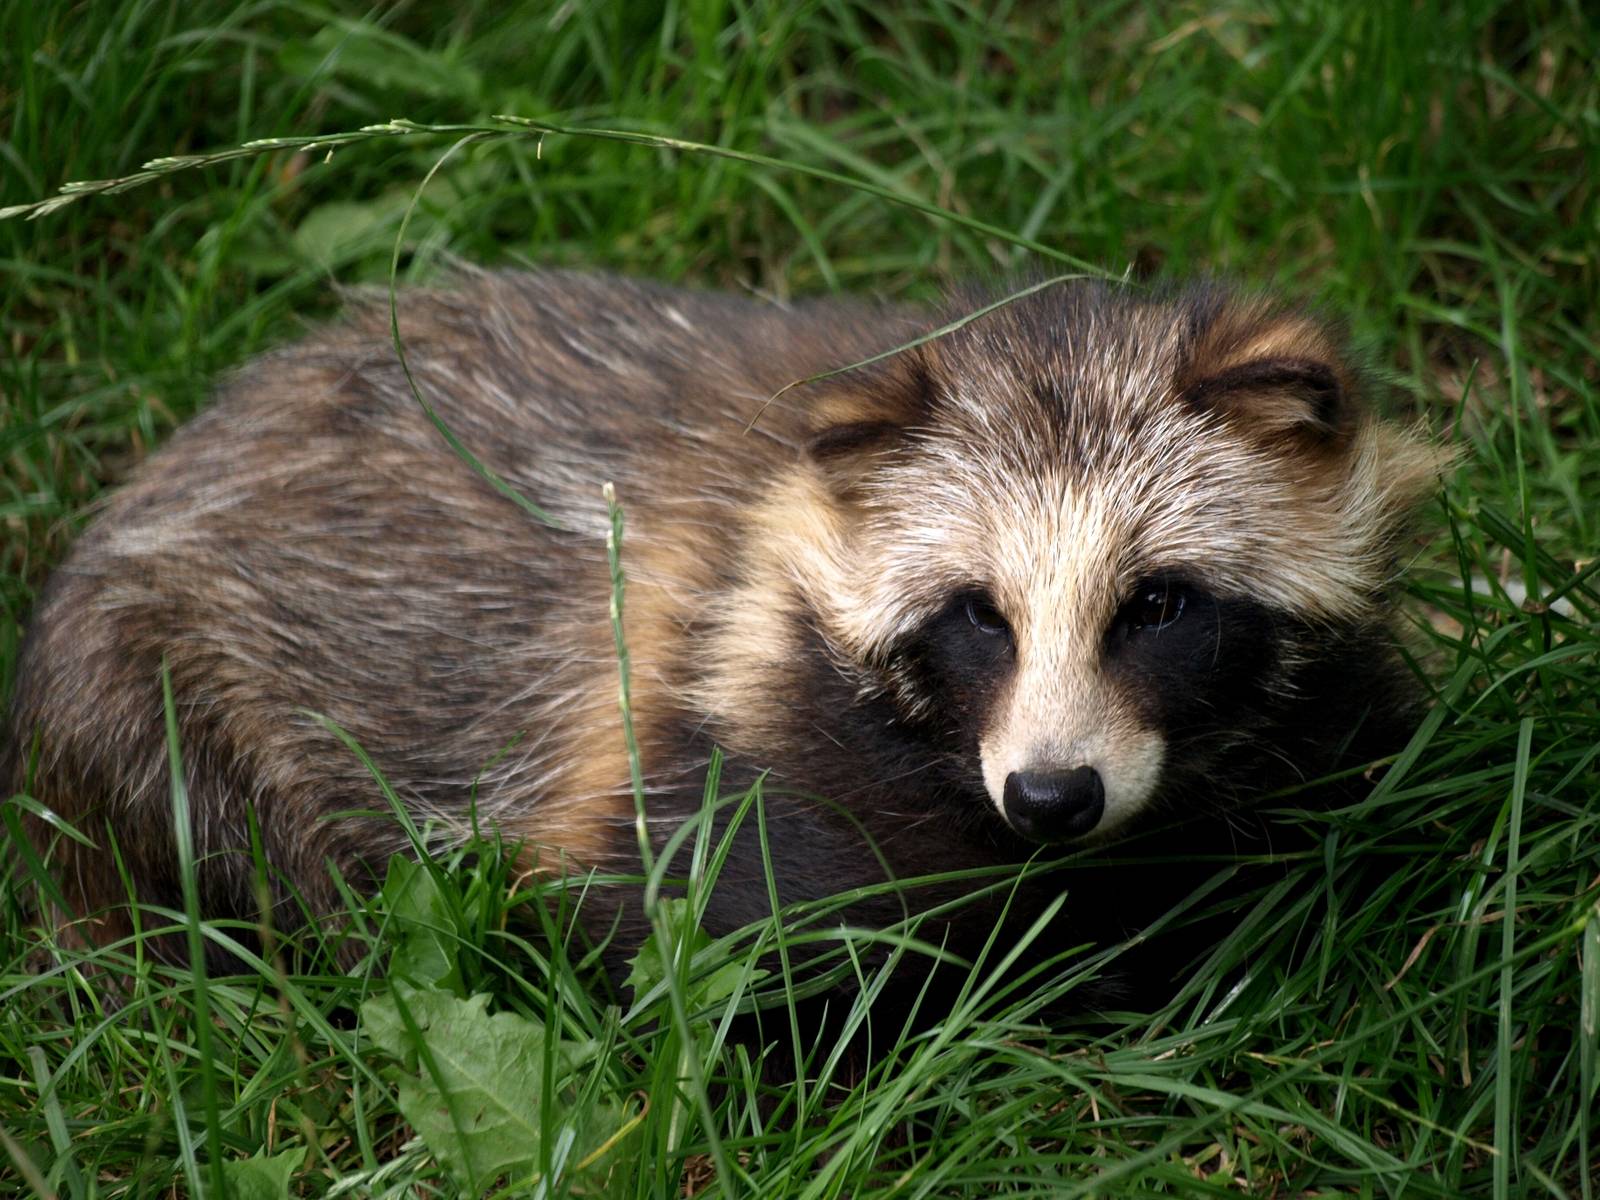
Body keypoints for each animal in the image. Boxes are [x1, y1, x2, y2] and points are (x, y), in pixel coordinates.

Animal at [4, 270, 1440, 998]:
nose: (1051, 795)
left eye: (1158, 603)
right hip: (155, 702)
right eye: (977, 614)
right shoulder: (697, 736)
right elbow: (717, 930)